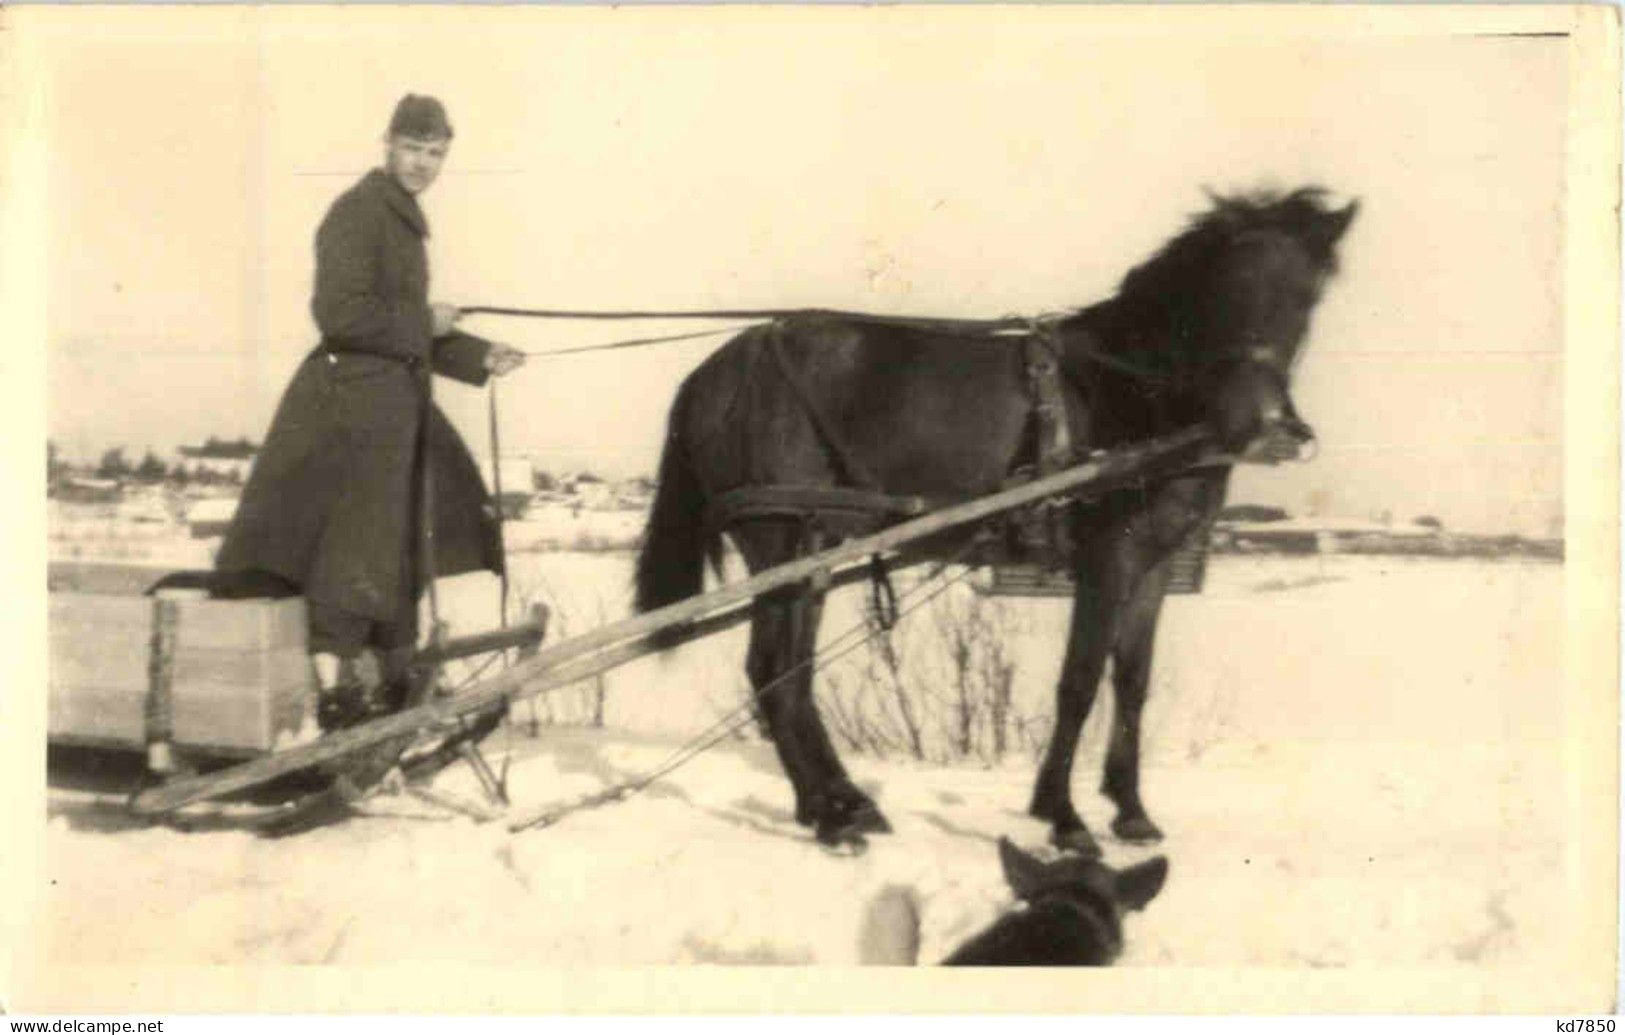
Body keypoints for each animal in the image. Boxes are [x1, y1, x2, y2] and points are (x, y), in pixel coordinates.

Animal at [633, 190, 1358, 851]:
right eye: (1224, 290)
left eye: (1305, 297)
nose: (1263, 427)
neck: (1131, 393)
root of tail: (713, 371)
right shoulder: (1107, 559)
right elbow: (1078, 682)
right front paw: (1063, 817)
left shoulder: (1154, 564)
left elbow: (1131, 681)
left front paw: (1130, 811)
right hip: (781, 541)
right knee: (772, 671)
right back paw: (834, 819)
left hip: (813, 546)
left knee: (790, 674)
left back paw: (840, 805)